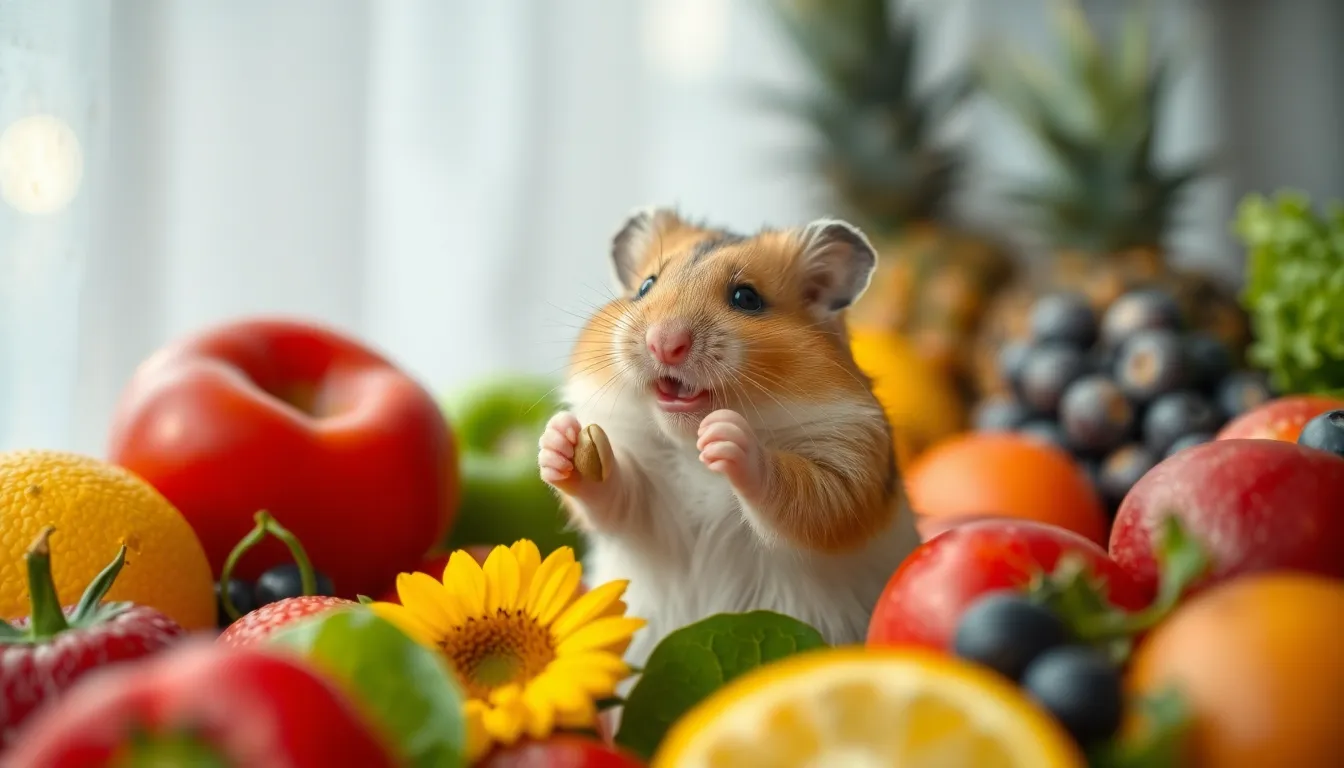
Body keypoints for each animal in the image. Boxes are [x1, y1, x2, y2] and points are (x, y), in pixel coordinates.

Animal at [536, 208, 922, 671]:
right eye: (646, 286)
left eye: (746, 298)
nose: (664, 344)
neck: (686, 443)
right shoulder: (644, 507)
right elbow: (613, 495)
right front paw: (558, 439)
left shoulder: (848, 467)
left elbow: (802, 494)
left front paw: (725, 434)